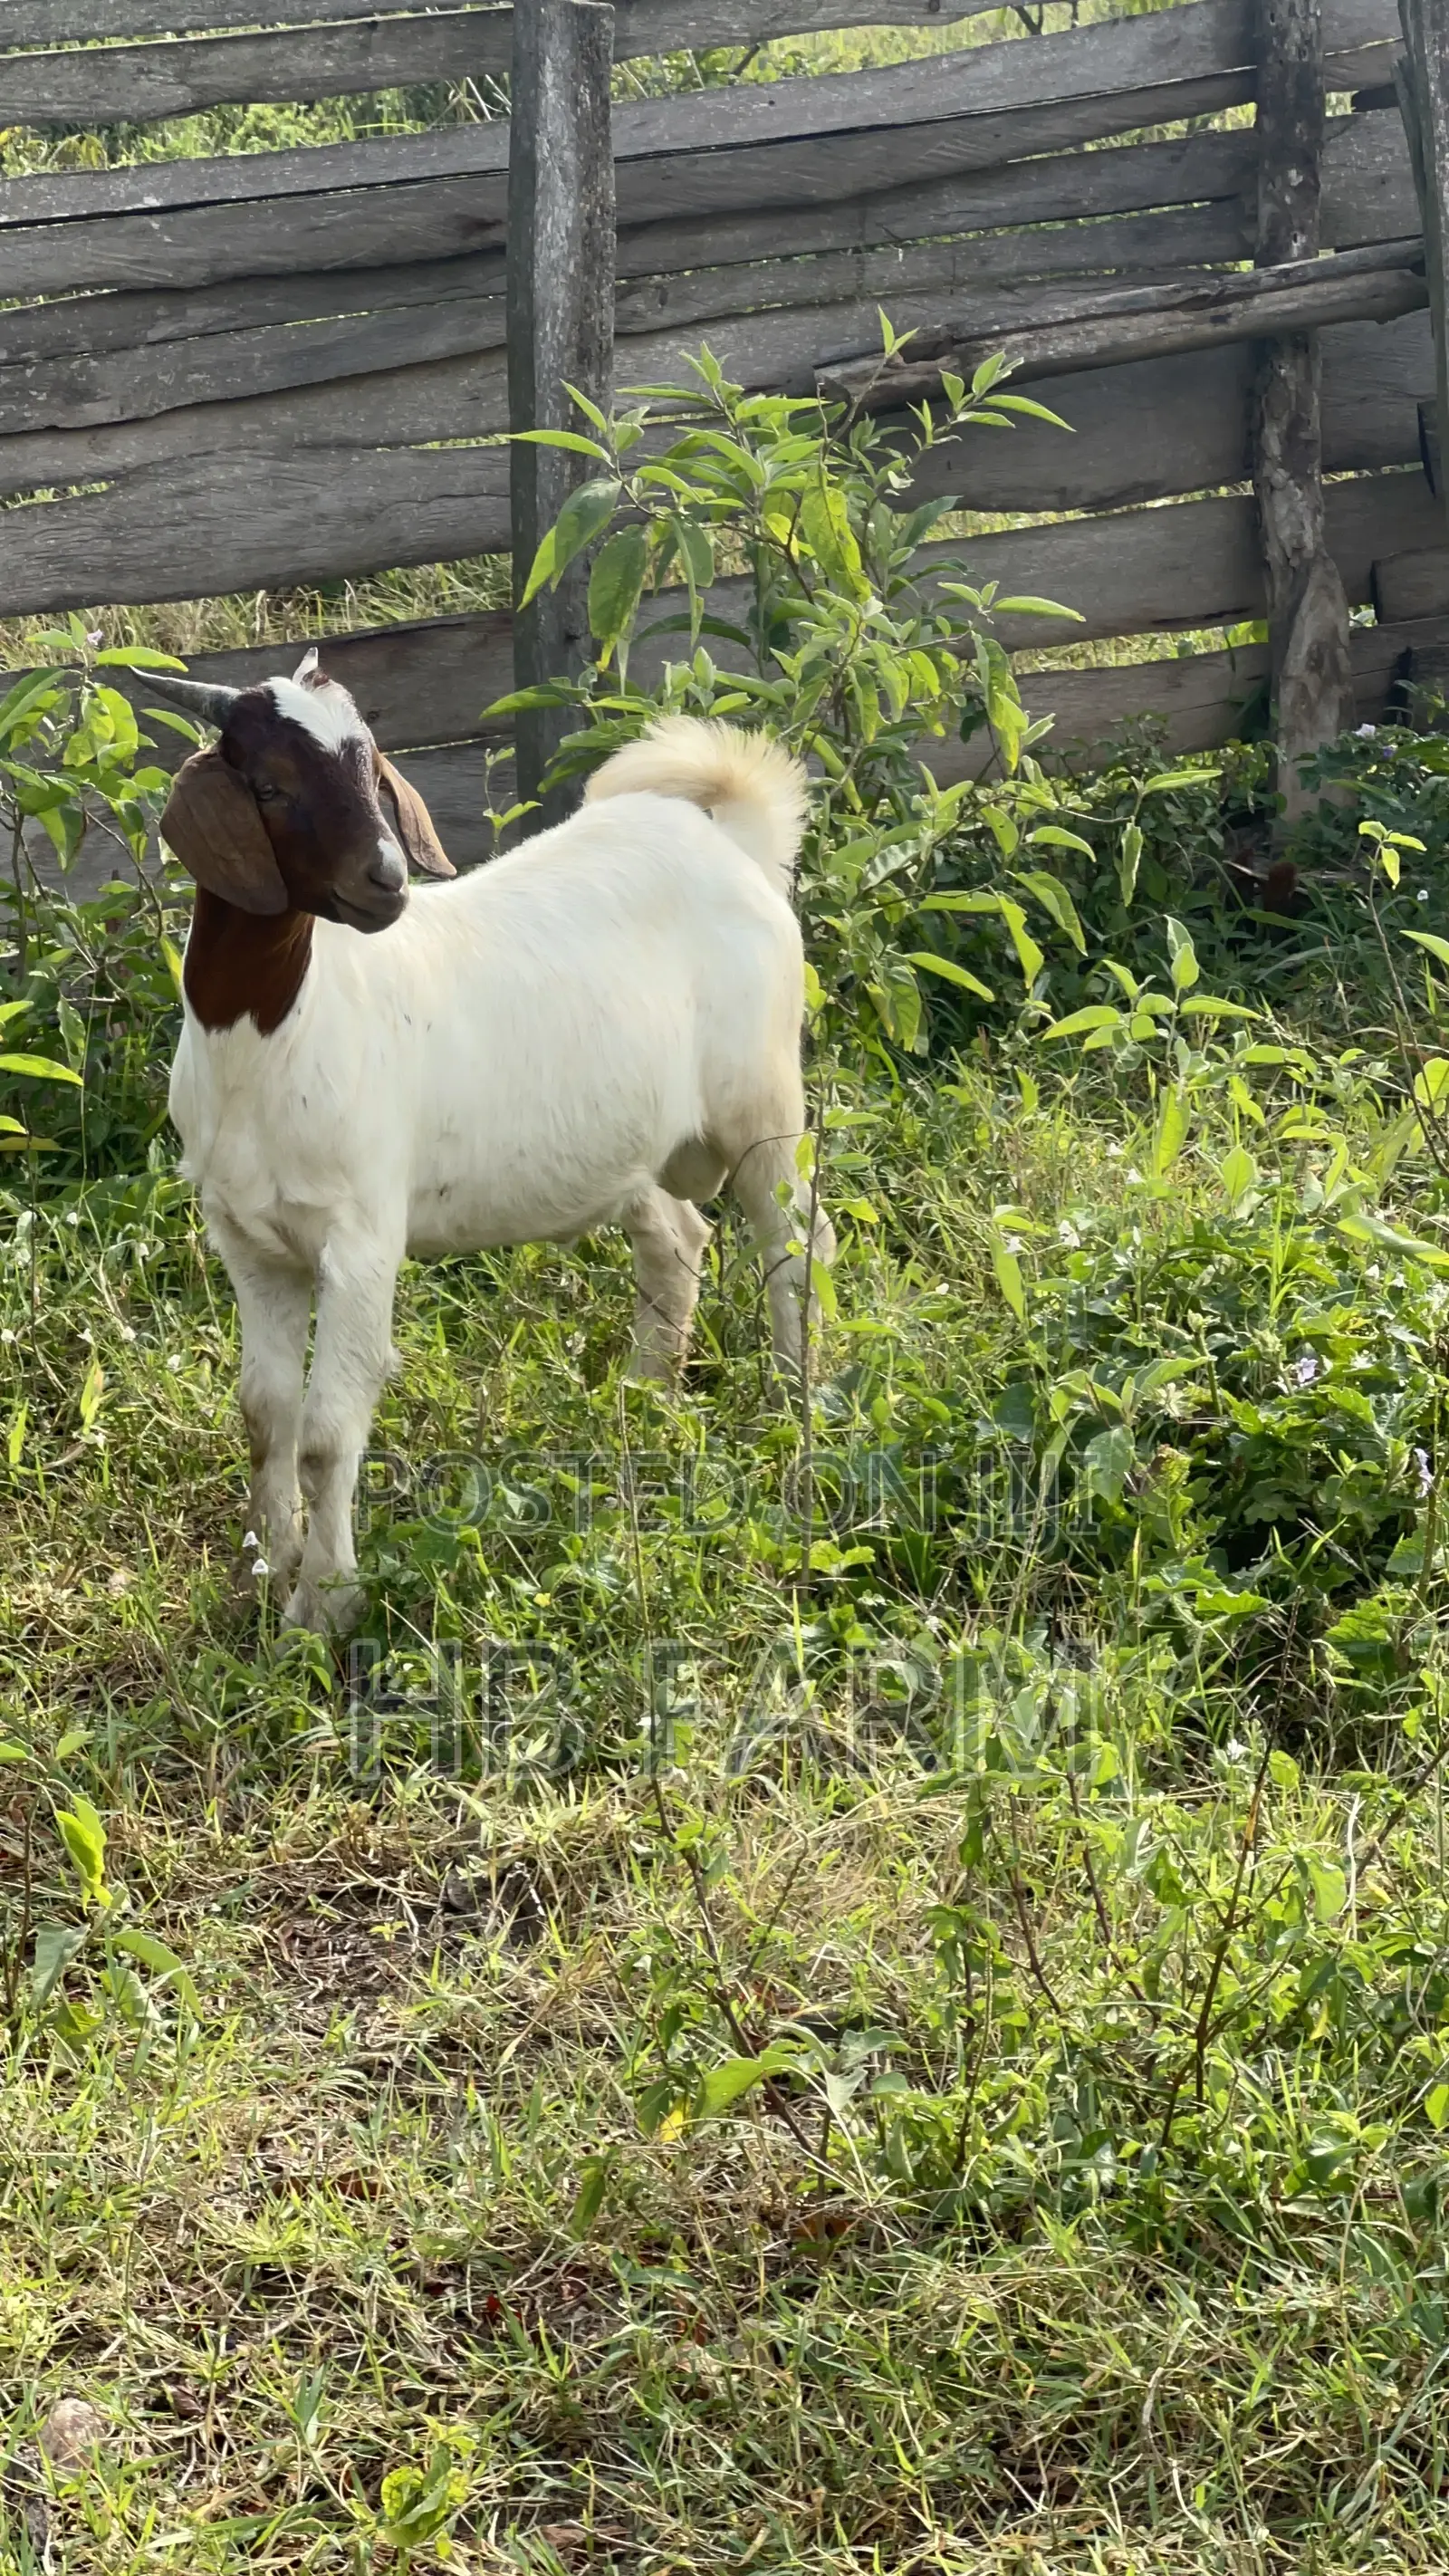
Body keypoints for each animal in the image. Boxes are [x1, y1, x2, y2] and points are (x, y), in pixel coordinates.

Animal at [152, 651, 835, 1633]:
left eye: (372, 766)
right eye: (270, 786)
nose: (387, 881)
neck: (273, 1035)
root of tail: (730, 836)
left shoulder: (362, 1237)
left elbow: (325, 1430)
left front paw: (323, 1605)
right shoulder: (247, 1239)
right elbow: (263, 1414)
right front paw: (262, 1571)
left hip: (762, 1096)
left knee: (796, 1241)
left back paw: (794, 1404)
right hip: (630, 1139)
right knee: (677, 1238)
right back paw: (644, 1398)